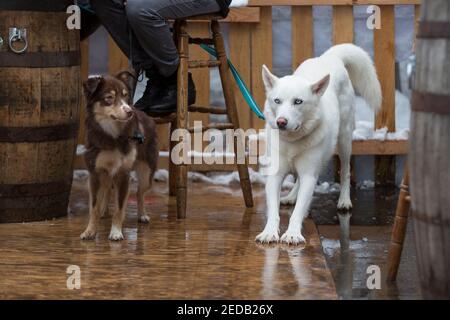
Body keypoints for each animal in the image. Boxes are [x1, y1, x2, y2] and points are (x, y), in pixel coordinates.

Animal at [81, 70, 158, 240]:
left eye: (125, 95)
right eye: (109, 98)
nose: (129, 111)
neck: (112, 135)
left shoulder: (123, 174)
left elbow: (120, 207)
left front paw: (116, 232)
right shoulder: (95, 173)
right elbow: (94, 207)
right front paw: (90, 230)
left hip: (147, 172)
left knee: (140, 192)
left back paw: (142, 214)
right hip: (106, 175)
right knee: (107, 190)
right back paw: (104, 211)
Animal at [256, 43, 380, 245]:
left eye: (298, 102)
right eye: (277, 101)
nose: (281, 122)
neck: (292, 141)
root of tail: (329, 56)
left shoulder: (309, 175)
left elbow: (298, 210)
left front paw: (292, 234)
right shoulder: (275, 175)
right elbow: (273, 210)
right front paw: (269, 232)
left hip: (344, 141)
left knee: (345, 171)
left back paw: (344, 200)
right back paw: (291, 196)